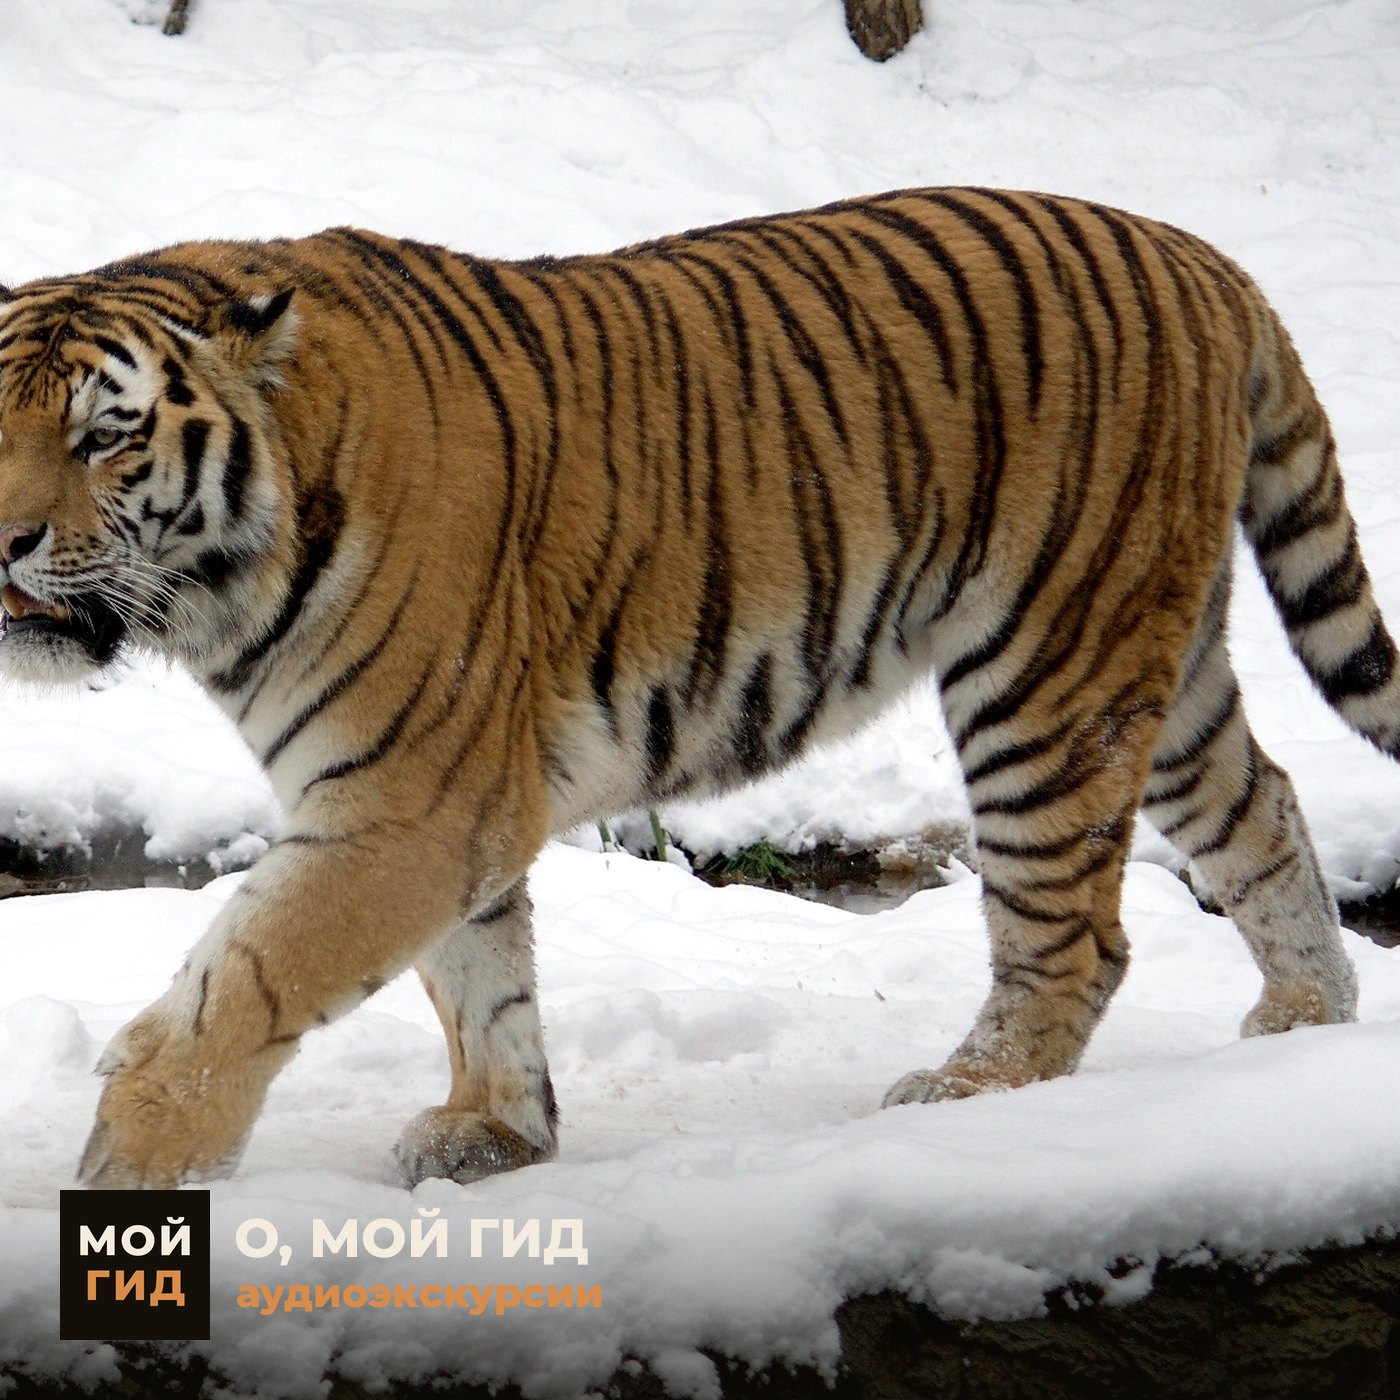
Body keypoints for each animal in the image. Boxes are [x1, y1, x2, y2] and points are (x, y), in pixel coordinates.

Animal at [0, 188, 1387, 1190]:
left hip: (1048, 672)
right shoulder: (438, 800)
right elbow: (479, 976)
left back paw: (968, 1096)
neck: (221, 587)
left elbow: (247, 980)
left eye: (105, 433)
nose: (4, 536)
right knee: (1260, 802)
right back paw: (1305, 1023)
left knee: (1078, 935)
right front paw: (495, 1133)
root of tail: (1202, 256)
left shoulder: (408, 801)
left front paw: (132, 1167)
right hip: (1158, 655)